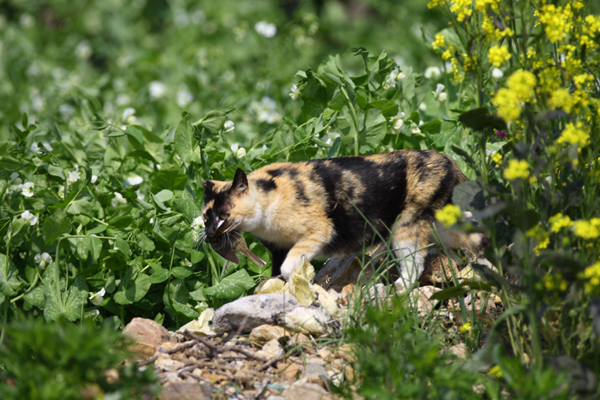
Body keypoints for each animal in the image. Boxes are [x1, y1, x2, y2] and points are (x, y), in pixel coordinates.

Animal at [202, 150, 488, 290]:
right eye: (205, 217)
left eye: (224, 215)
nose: (211, 233)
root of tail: (449, 160)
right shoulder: (277, 248)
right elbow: (276, 270)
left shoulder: (318, 232)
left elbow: (289, 264)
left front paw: (298, 279)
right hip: (440, 224)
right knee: (474, 235)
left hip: (406, 227)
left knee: (414, 264)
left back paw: (398, 287)